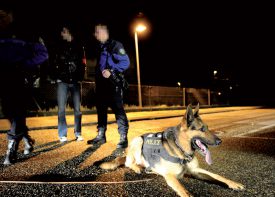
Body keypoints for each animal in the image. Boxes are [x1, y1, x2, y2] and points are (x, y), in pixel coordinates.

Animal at [100, 104, 245, 196]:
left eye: (208, 128)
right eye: (202, 129)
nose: (220, 141)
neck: (181, 150)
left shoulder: (195, 171)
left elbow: (217, 175)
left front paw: (233, 183)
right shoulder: (170, 176)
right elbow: (184, 190)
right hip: (138, 140)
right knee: (128, 163)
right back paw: (137, 167)